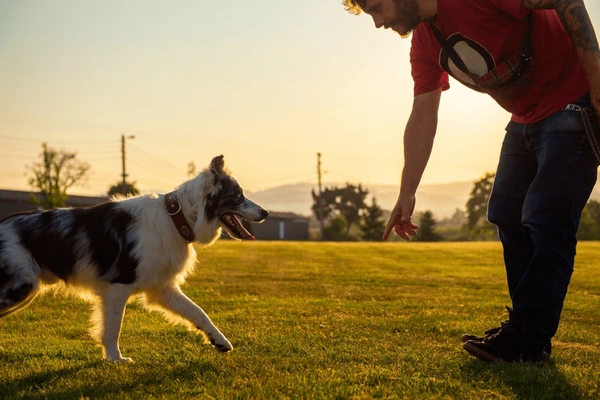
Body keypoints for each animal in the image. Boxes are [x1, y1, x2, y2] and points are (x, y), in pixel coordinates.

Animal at [0, 155, 268, 360]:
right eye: (238, 195)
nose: (265, 212)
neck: (176, 218)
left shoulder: (163, 288)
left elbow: (198, 312)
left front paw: (219, 340)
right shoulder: (118, 287)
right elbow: (112, 330)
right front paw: (115, 359)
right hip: (21, 288)